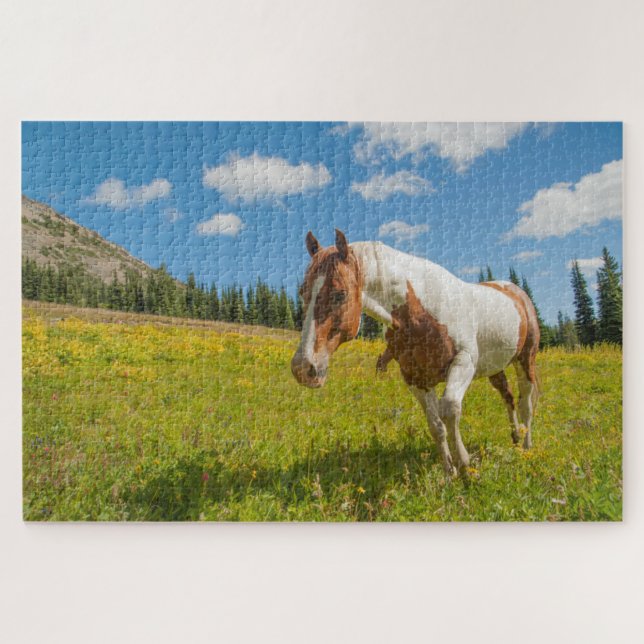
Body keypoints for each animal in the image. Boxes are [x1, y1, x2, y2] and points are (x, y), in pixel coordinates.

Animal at [290, 229, 540, 476]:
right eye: (302, 292)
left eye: (340, 294)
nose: (303, 368)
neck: (419, 314)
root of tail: (517, 293)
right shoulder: (415, 378)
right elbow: (436, 425)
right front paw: (450, 473)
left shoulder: (464, 362)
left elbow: (449, 409)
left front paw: (465, 465)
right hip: (494, 368)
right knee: (508, 397)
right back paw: (516, 438)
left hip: (525, 361)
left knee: (526, 403)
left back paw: (527, 448)